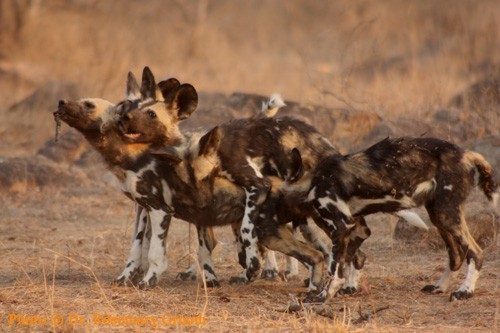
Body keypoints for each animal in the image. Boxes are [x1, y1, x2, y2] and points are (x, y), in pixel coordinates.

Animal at [288, 136, 498, 300]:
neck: (313, 178)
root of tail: (466, 153)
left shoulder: (341, 225)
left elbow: (335, 269)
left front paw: (324, 295)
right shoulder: (355, 228)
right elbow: (348, 259)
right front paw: (345, 289)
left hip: (446, 214)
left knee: (476, 253)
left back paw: (465, 291)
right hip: (439, 216)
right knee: (456, 255)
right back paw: (440, 287)